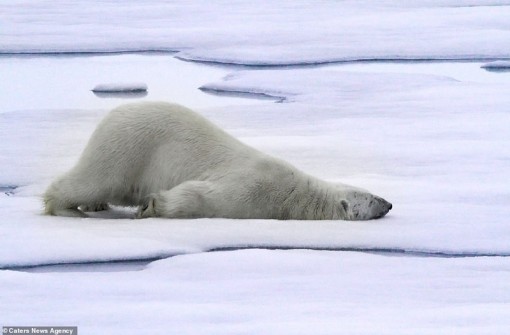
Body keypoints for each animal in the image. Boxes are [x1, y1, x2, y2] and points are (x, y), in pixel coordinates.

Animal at [43, 101, 392, 220]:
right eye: (370, 198)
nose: (389, 203)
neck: (296, 197)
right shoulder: (253, 188)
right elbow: (199, 195)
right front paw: (154, 206)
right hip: (128, 148)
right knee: (93, 179)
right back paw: (67, 207)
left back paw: (95, 206)